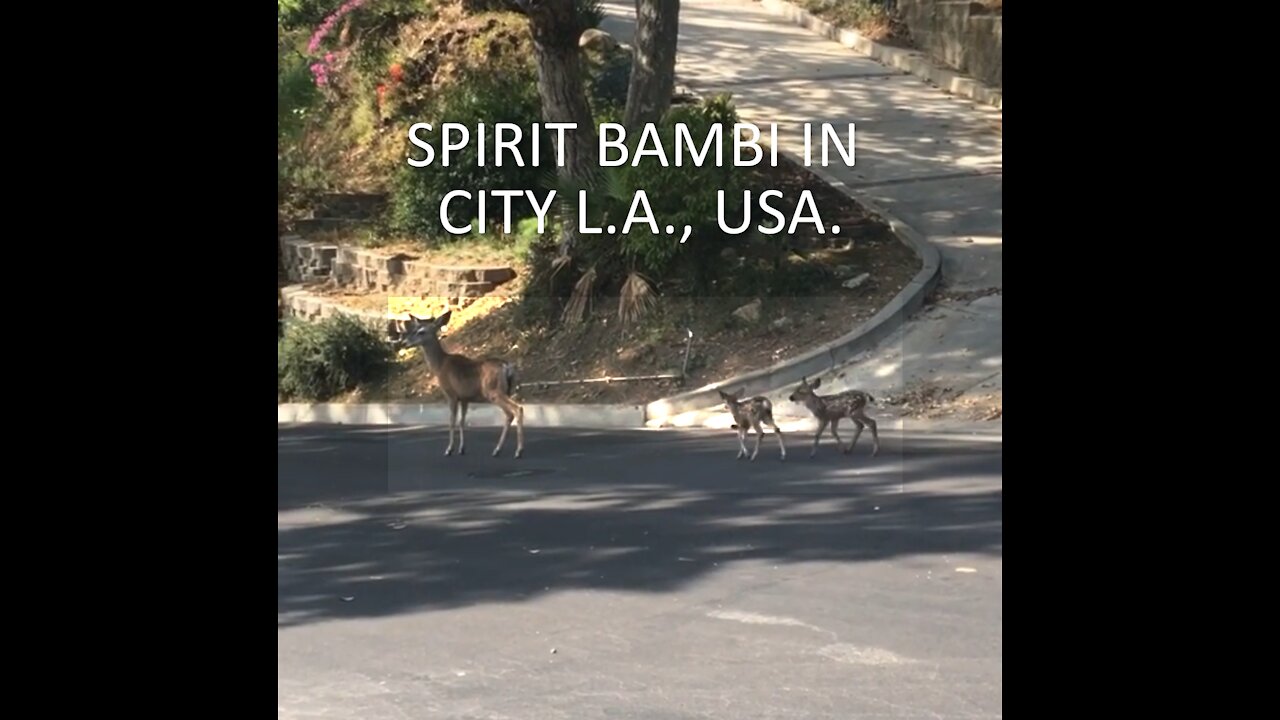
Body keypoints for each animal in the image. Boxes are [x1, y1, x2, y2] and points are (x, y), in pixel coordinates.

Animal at [396, 310, 522, 456]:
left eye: (421, 331)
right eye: (414, 329)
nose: (405, 342)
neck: (439, 366)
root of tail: (507, 367)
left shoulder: (451, 394)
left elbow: (451, 421)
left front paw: (449, 449)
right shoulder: (464, 398)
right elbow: (462, 421)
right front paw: (462, 448)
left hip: (494, 391)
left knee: (515, 410)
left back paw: (515, 451)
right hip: (508, 390)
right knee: (511, 413)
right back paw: (500, 449)